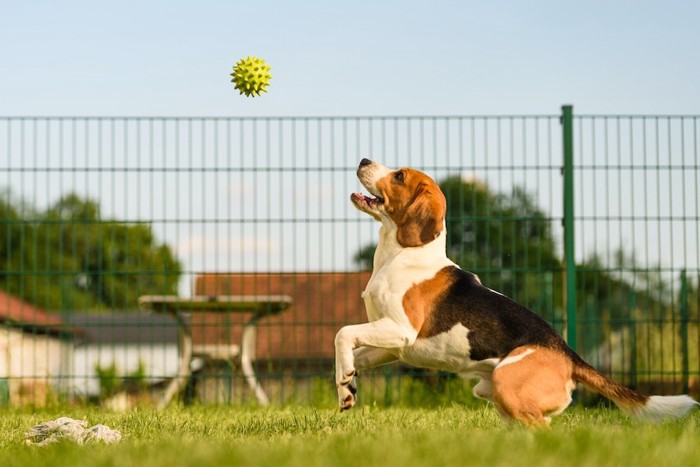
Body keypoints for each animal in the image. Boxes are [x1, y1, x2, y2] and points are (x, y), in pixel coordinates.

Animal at [336, 158, 696, 428]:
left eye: (399, 176)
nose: (364, 160)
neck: (401, 254)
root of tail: (568, 353)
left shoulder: (401, 330)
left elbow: (342, 333)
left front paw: (344, 380)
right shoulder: (392, 345)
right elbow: (354, 352)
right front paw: (347, 384)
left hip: (507, 385)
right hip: (497, 395)